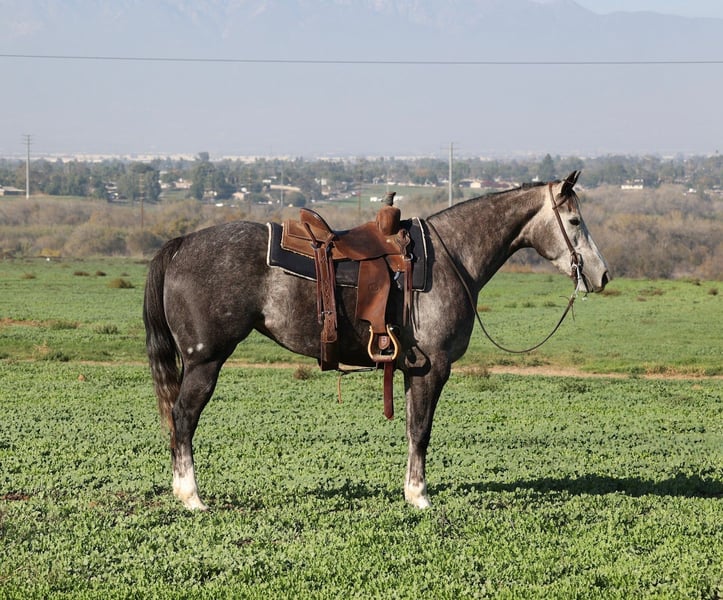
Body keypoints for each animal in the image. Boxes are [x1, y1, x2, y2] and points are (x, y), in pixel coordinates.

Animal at [143, 170, 610, 510]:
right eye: (574, 221)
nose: (601, 275)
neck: (451, 258)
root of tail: (181, 244)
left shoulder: (411, 369)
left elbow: (410, 428)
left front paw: (410, 491)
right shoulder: (433, 368)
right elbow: (421, 429)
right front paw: (420, 497)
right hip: (205, 362)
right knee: (183, 419)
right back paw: (191, 498)